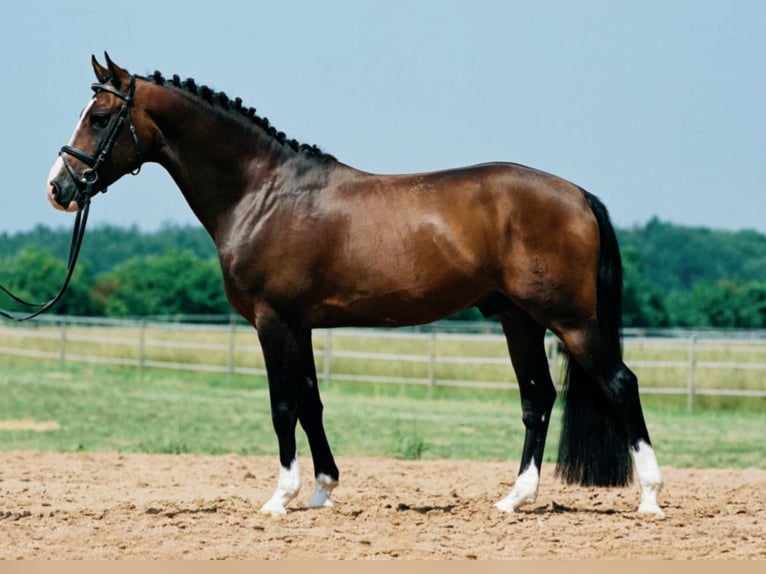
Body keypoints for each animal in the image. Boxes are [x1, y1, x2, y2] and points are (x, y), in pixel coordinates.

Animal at [45, 55, 664, 516]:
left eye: (100, 117)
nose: (59, 187)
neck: (263, 193)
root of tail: (578, 194)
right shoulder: (300, 325)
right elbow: (311, 402)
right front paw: (322, 491)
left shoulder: (272, 322)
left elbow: (282, 405)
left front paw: (280, 498)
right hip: (520, 320)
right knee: (538, 398)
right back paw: (515, 498)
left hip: (571, 321)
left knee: (620, 383)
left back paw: (650, 499)